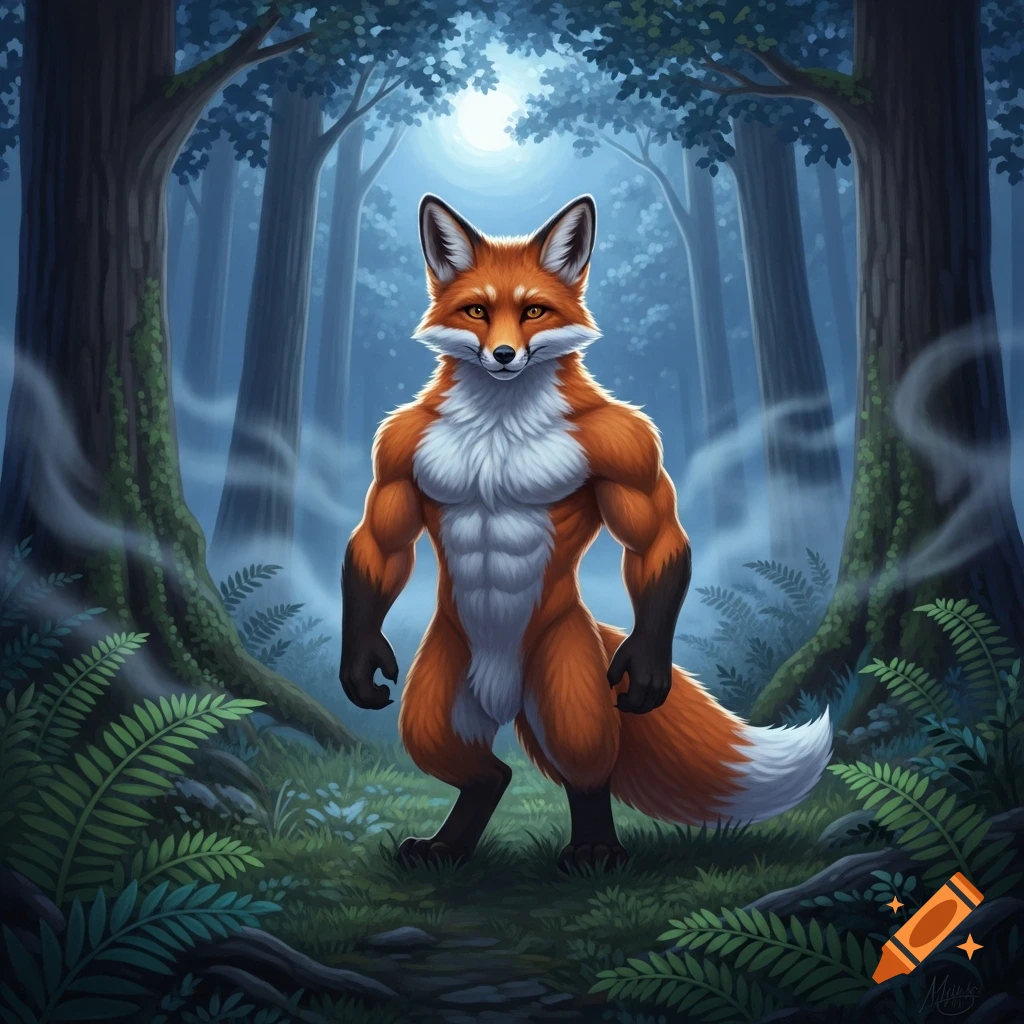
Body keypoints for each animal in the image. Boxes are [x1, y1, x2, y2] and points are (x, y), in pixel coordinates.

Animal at [338, 193, 832, 870]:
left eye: (533, 311)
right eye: (477, 311)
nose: (503, 356)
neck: (498, 426)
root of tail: (504, 694)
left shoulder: (628, 446)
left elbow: (652, 539)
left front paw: (647, 667)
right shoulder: (394, 452)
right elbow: (381, 544)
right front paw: (359, 664)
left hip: (567, 684)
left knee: (584, 764)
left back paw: (595, 847)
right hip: (436, 702)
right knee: (483, 771)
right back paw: (447, 845)